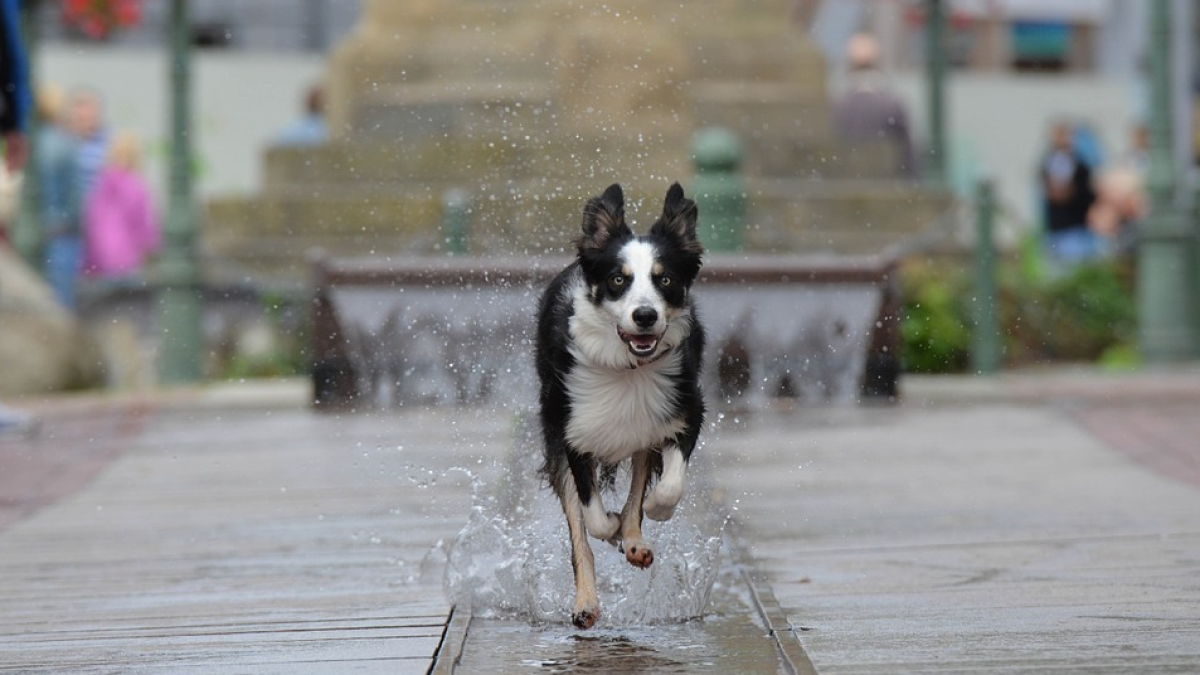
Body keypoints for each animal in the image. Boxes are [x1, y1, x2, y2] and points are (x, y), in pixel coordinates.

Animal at [535, 182, 700, 624]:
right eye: (617, 280)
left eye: (665, 279)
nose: (644, 316)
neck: (628, 368)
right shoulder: (572, 432)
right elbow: (591, 515)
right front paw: (609, 526)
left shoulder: (685, 409)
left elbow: (668, 484)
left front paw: (656, 511)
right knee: (580, 532)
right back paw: (586, 603)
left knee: (638, 487)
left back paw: (634, 540)